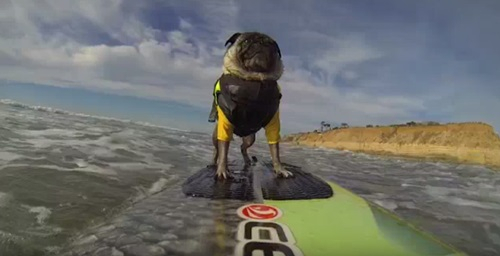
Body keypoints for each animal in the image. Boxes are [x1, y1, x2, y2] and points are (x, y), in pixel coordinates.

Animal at [207, 31, 292, 180]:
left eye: (270, 44)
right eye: (246, 41)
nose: (260, 43)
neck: (255, 78)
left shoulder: (273, 123)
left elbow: (275, 150)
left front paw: (280, 169)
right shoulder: (225, 123)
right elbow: (223, 150)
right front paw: (222, 169)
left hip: (250, 138)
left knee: (242, 147)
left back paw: (247, 160)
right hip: (217, 134)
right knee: (217, 149)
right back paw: (214, 163)